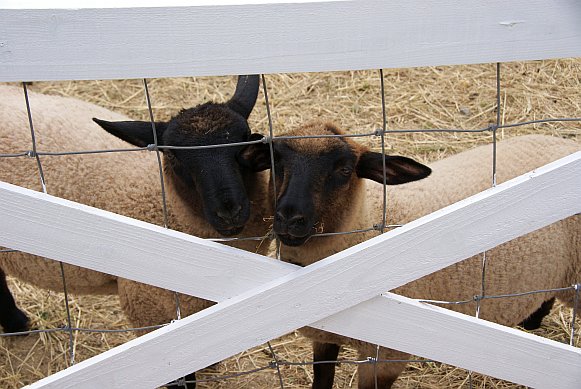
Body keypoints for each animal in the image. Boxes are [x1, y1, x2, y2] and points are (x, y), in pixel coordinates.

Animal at [239, 119, 580, 386]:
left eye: (345, 169)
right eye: (275, 162)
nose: (289, 219)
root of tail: (563, 144)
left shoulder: (384, 357)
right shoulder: (324, 337)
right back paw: (532, 321)